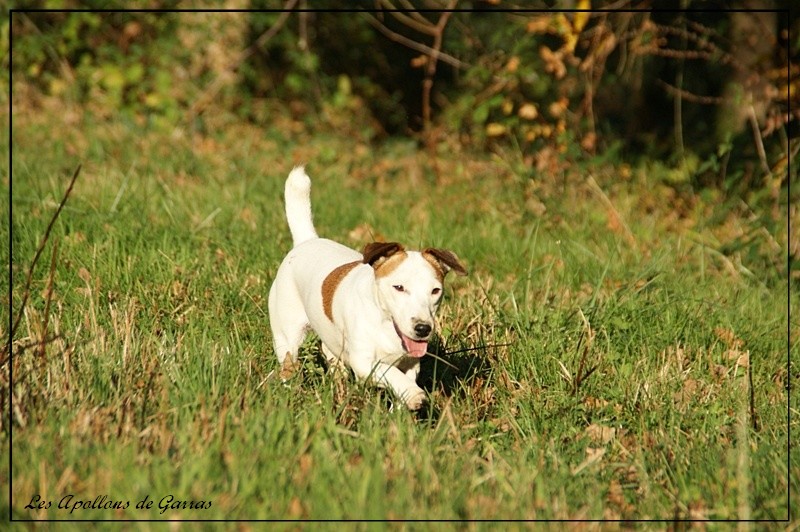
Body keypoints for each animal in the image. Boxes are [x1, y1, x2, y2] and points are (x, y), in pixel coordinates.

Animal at [268, 168, 468, 410]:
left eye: (435, 291)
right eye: (398, 287)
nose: (423, 328)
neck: (386, 325)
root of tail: (306, 241)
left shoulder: (411, 363)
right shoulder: (364, 362)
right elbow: (389, 372)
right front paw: (414, 394)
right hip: (287, 336)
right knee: (288, 362)